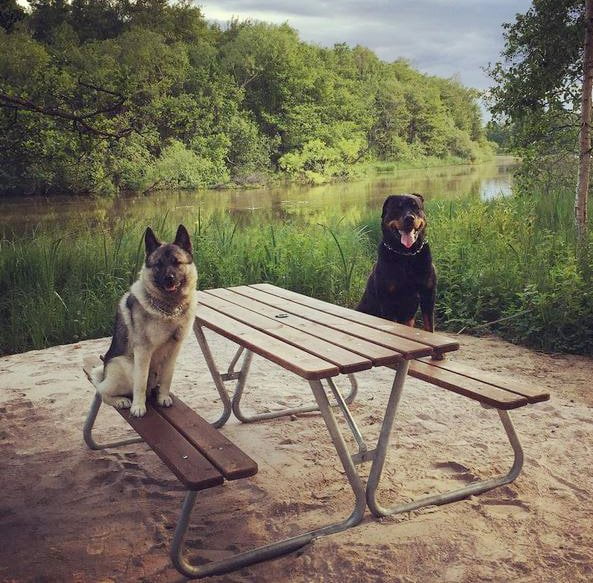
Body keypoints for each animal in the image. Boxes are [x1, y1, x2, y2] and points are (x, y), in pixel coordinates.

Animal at [89, 225, 197, 420]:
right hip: (124, 366)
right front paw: (138, 407)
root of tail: (105, 372)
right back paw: (121, 401)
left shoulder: (174, 350)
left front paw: (163, 397)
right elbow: (140, 383)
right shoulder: (143, 351)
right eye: (159, 264)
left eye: (177, 262)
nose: (169, 278)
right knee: (103, 392)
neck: (169, 308)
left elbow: (168, 377)